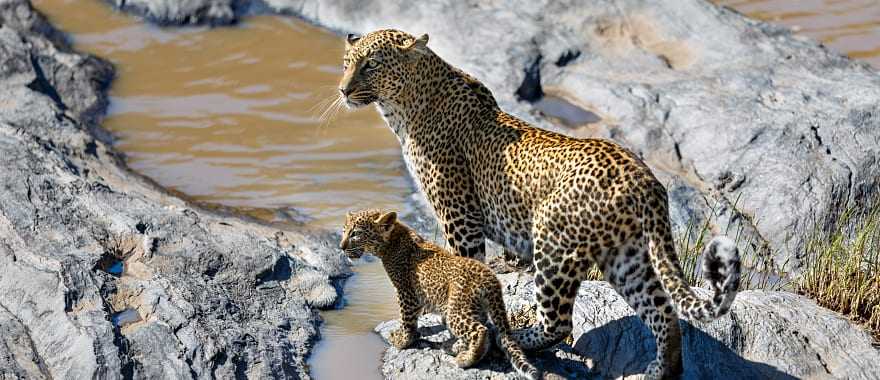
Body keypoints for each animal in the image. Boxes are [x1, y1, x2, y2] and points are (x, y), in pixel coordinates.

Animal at [338, 29, 744, 378]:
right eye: (346, 62)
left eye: (371, 64)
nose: (343, 89)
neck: (405, 109)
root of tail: (645, 179)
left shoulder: (460, 215)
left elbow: (463, 266)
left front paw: (461, 328)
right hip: (626, 256)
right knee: (664, 314)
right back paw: (659, 371)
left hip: (553, 243)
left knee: (559, 320)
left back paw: (516, 337)